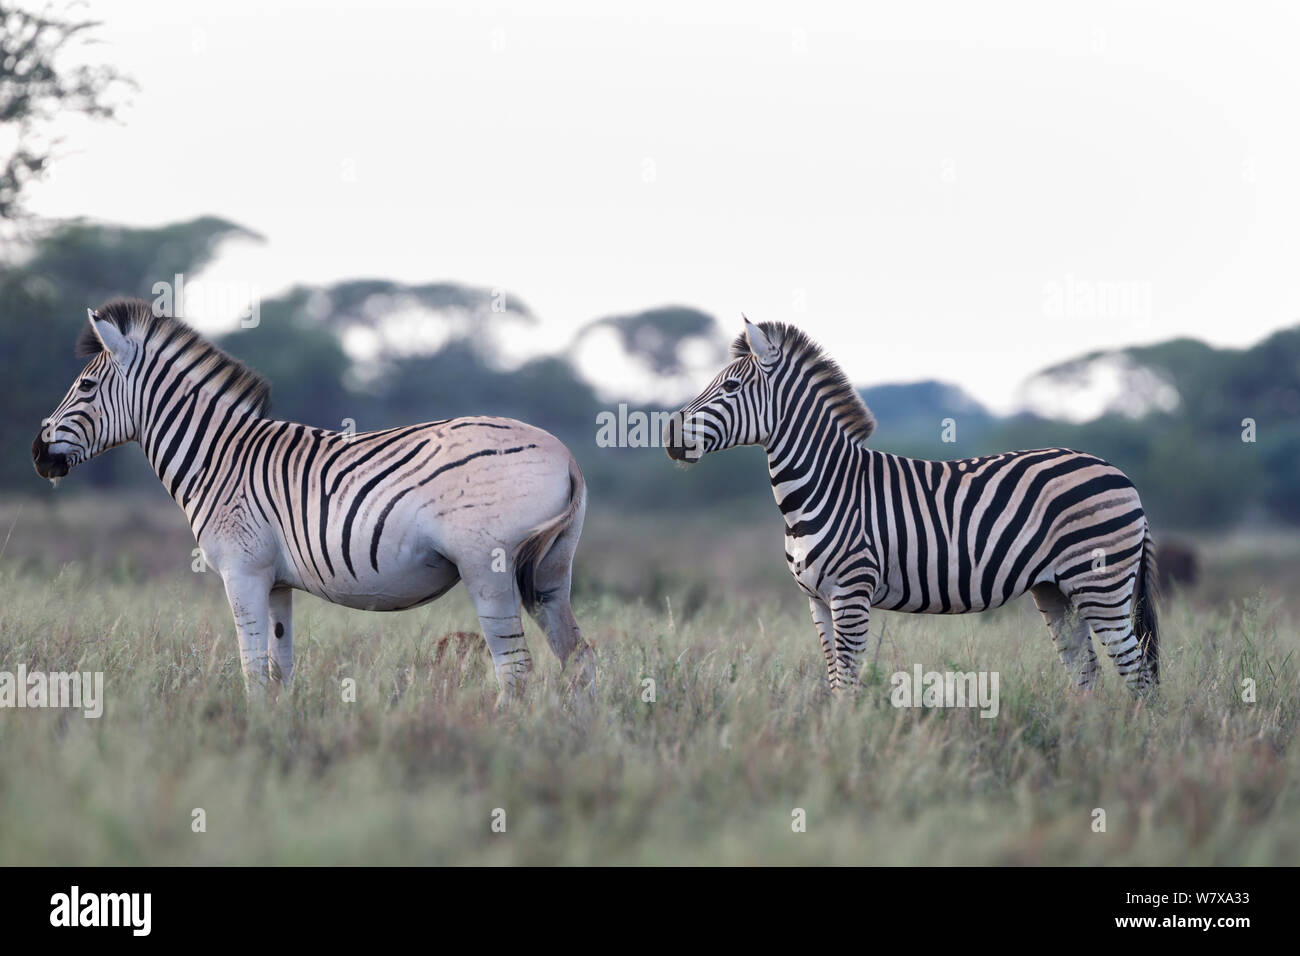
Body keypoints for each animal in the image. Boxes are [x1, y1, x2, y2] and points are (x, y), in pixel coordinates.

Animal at [34, 303, 595, 707]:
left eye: (86, 385)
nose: (38, 455)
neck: (220, 457)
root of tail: (565, 455)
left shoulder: (243, 571)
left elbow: (252, 670)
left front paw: (253, 735)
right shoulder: (277, 580)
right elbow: (280, 669)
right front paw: (278, 731)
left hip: (487, 567)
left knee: (515, 670)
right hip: (552, 571)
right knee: (579, 659)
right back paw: (575, 741)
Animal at [665, 321, 1164, 697]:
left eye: (731, 386)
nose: (669, 435)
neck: (825, 485)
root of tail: (1122, 476)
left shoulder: (851, 592)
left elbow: (848, 683)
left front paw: (844, 746)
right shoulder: (816, 599)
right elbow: (834, 680)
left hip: (1101, 584)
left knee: (1137, 673)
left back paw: (1133, 746)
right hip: (1056, 590)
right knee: (1088, 673)